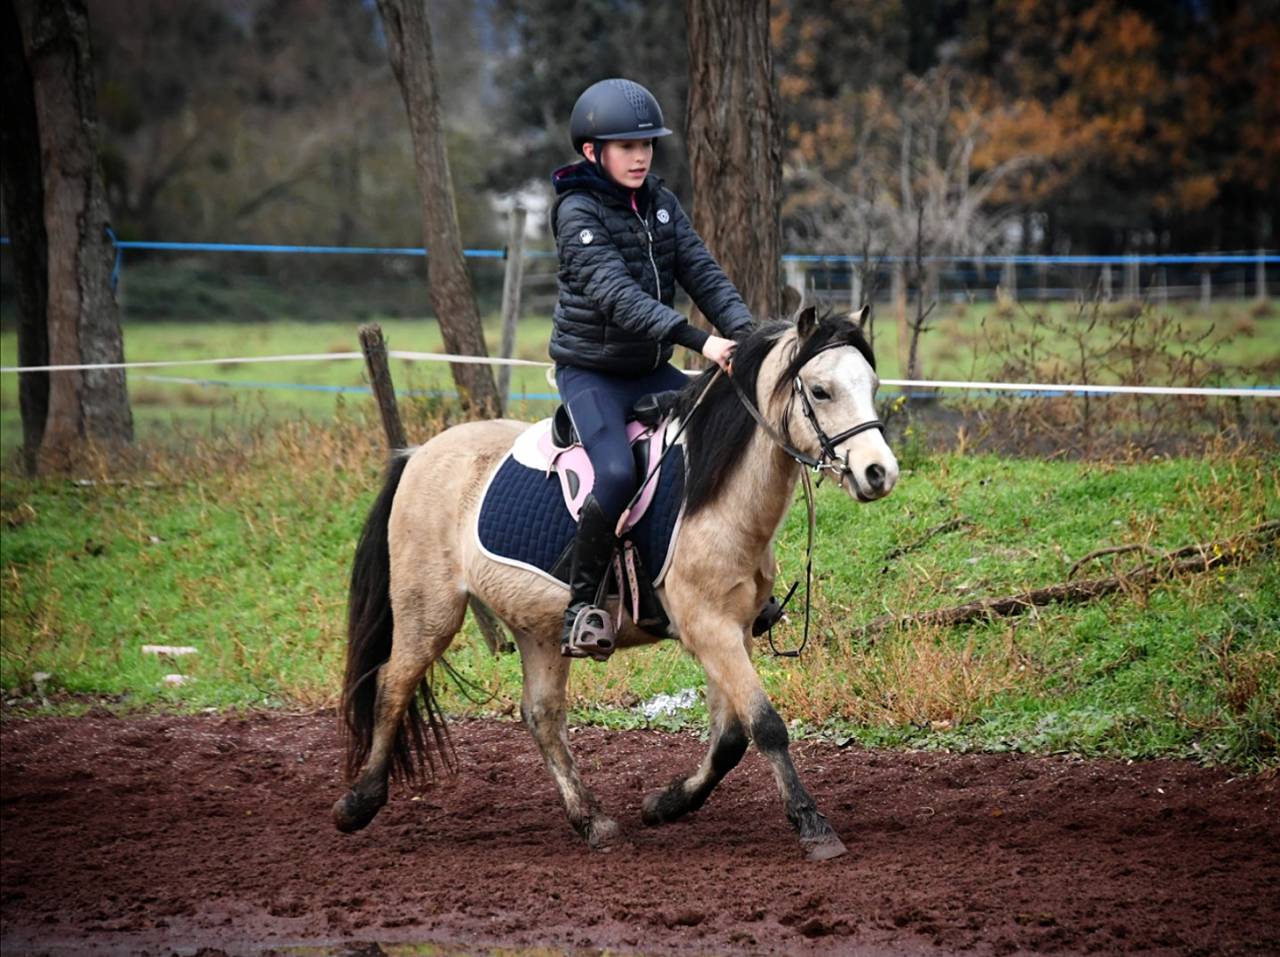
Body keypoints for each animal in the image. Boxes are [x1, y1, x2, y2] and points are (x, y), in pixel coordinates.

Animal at [332, 304, 899, 861]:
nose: (879, 473)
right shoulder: (708, 627)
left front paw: (666, 804)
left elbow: (731, 737)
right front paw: (813, 826)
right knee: (393, 686)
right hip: (428, 610)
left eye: (872, 384)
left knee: (542, 715)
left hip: (539, 628)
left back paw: (591, 821)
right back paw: (358, 804)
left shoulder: (731, 628)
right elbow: (765, 726)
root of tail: (417, 454)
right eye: (821, 391)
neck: (711, 497)